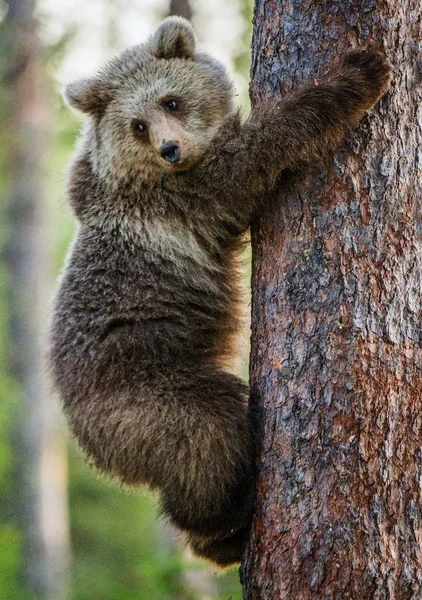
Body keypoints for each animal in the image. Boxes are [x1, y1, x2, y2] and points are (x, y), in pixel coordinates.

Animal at [50, 15, 392, 568]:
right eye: (137, 124)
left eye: (170, 101)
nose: (170, 148)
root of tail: (84, 440)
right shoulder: (189, 197)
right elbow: (259, 150)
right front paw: (358, 72)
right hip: (143, 393)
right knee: (208, 432)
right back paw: (225, 524)